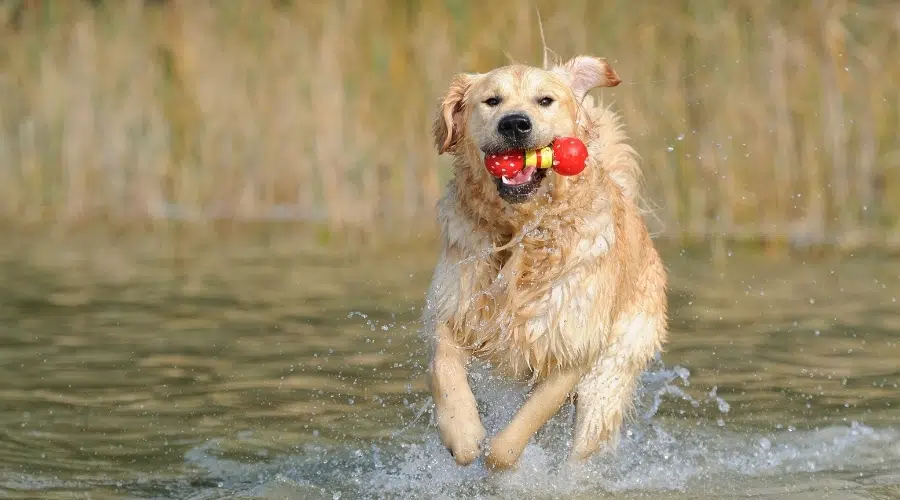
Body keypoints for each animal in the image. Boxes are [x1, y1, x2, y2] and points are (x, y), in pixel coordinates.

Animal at [424, 55, 668, 472]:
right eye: (492, 100)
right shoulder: (453, 306)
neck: (520, 234)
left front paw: (500, 459)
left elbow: (511, 442)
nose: (515, 123)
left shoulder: (572, 345)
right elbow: (445, 367)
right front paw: (463, 434)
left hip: (607, 382)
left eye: (545, 100)